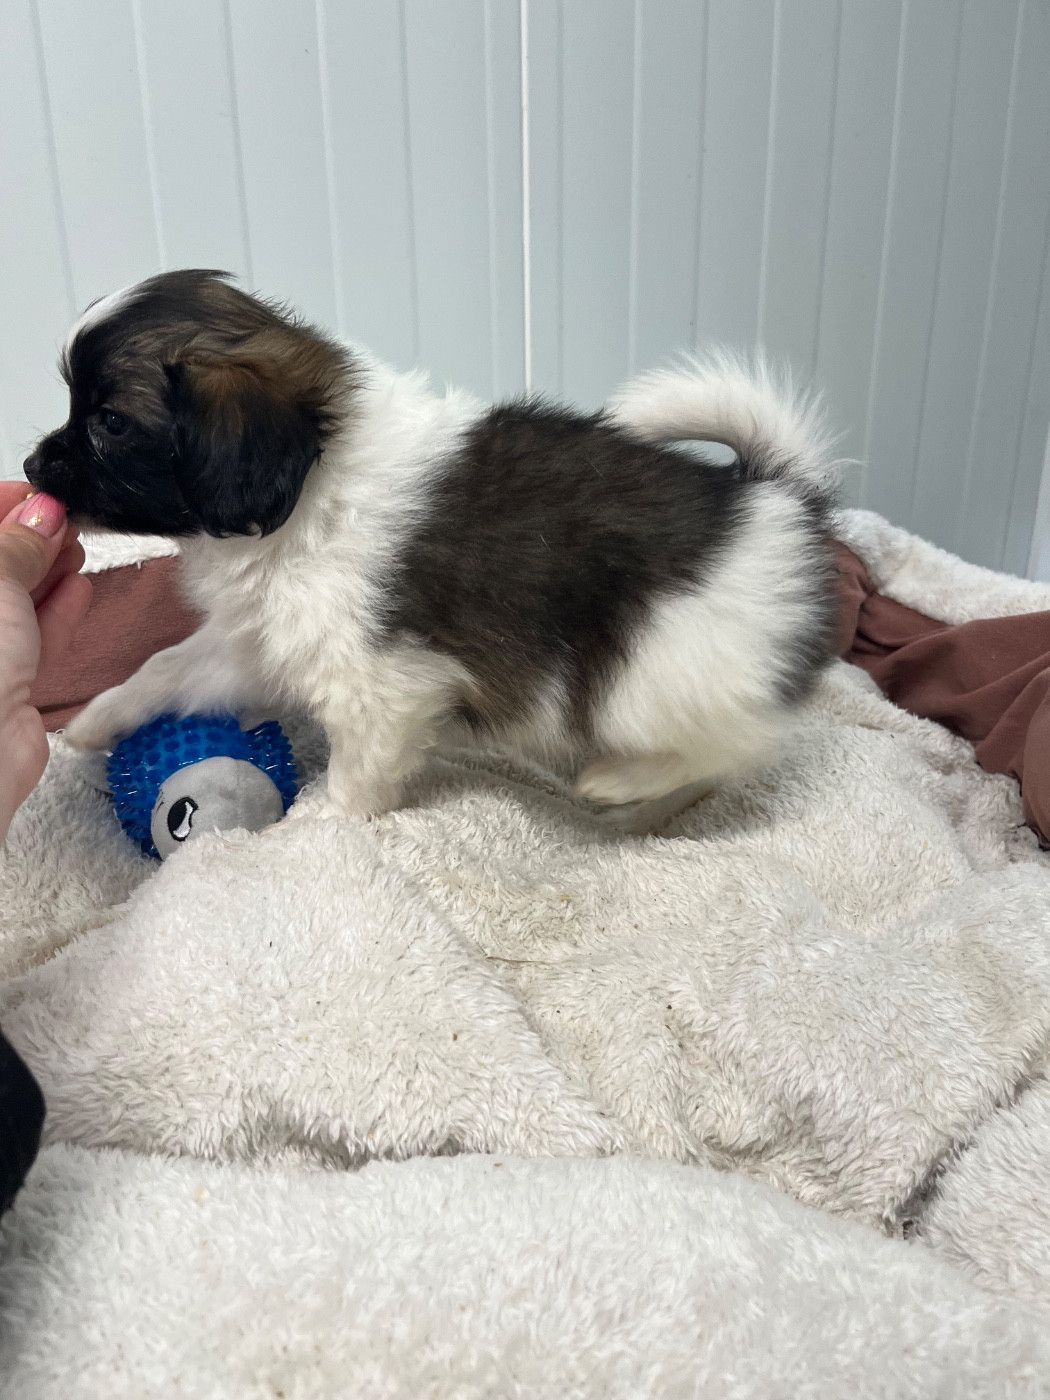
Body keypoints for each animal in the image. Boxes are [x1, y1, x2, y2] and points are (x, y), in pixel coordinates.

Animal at [26, 270, 840, 824]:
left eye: (108, 423)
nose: (31, 466)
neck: (313, 485)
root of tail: (778, 499)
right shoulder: (264, 645)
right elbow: (166, 668)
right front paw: (94, 719)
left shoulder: (379, 684)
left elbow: (358, 770)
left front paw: (320, 826)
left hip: (650, 679)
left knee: (736, 747)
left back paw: (621, 785)